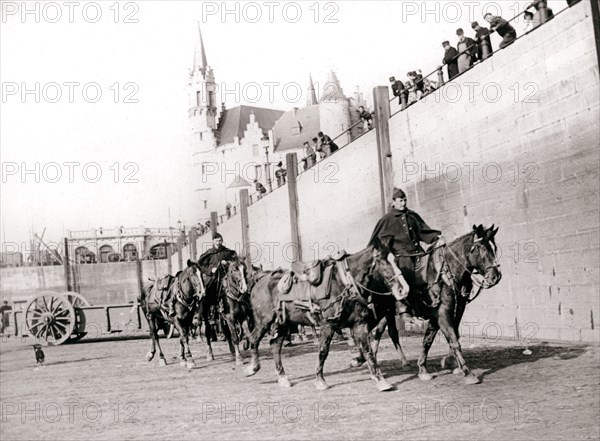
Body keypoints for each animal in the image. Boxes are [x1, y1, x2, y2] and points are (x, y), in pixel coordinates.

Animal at [244, 241, 408, 392]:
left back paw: (282, 377)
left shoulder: (359, 324)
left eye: (396, 260)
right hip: (264, 320)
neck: (343, 282)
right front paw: (320, 380)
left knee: (275, 345)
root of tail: (259, 282)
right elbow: (323, 351)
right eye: (382, 261)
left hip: (284, 323)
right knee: (254, 339)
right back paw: (253, 368)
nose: (403, 290)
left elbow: (368, 350)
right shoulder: (328, 325)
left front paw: (380, 380)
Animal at [356, 223, 502, 382]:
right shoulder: (442, 313)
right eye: (482, 248)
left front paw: (427, 368)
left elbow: (431, 340)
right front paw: (467, 372)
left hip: (385, 314)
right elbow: (453, 340)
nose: (496, 277)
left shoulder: (452, 312)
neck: (445, 274)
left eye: (494, 248)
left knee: (378, 333)